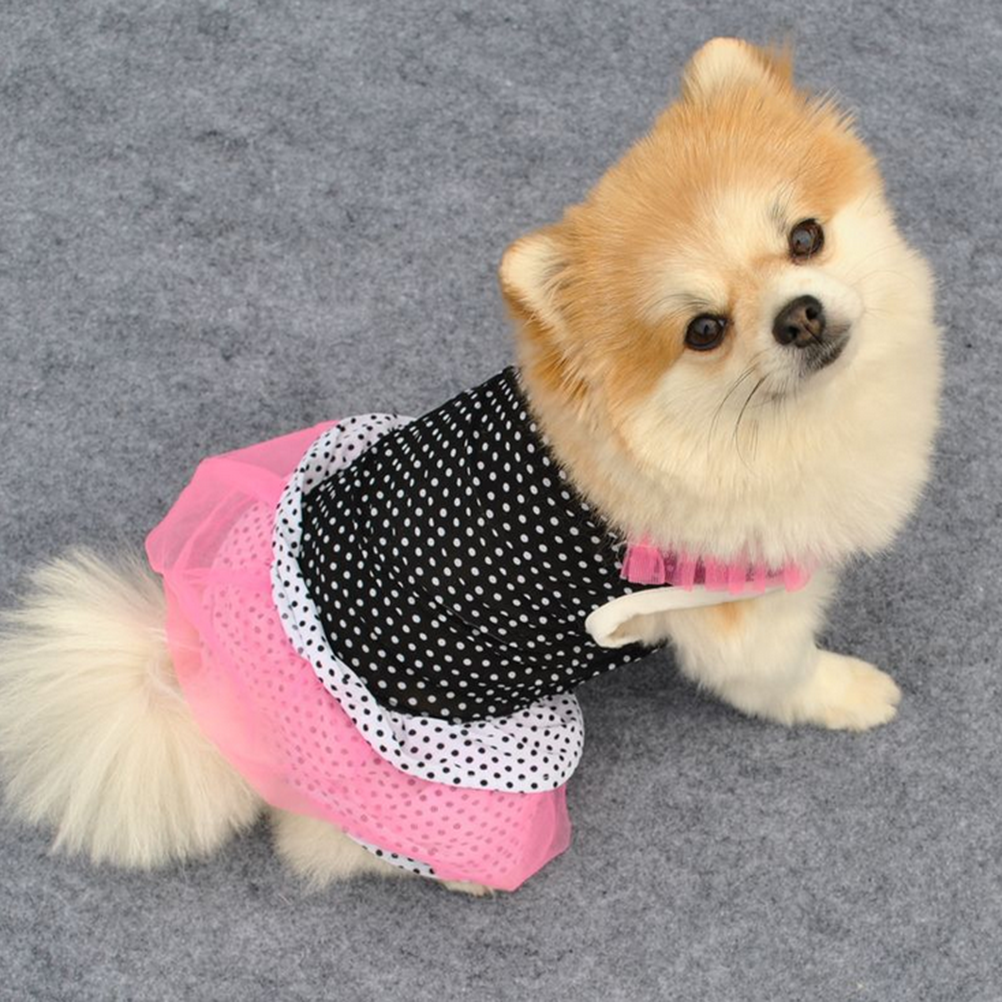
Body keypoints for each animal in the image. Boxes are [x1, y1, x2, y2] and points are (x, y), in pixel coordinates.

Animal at [0, 38, 941, 894]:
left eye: (805, 237)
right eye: (704, 331)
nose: (800, 315)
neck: (768, 432)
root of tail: (202, 695)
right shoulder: (742, 620)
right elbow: (788, 676)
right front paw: (854, 694)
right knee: (326, 843)